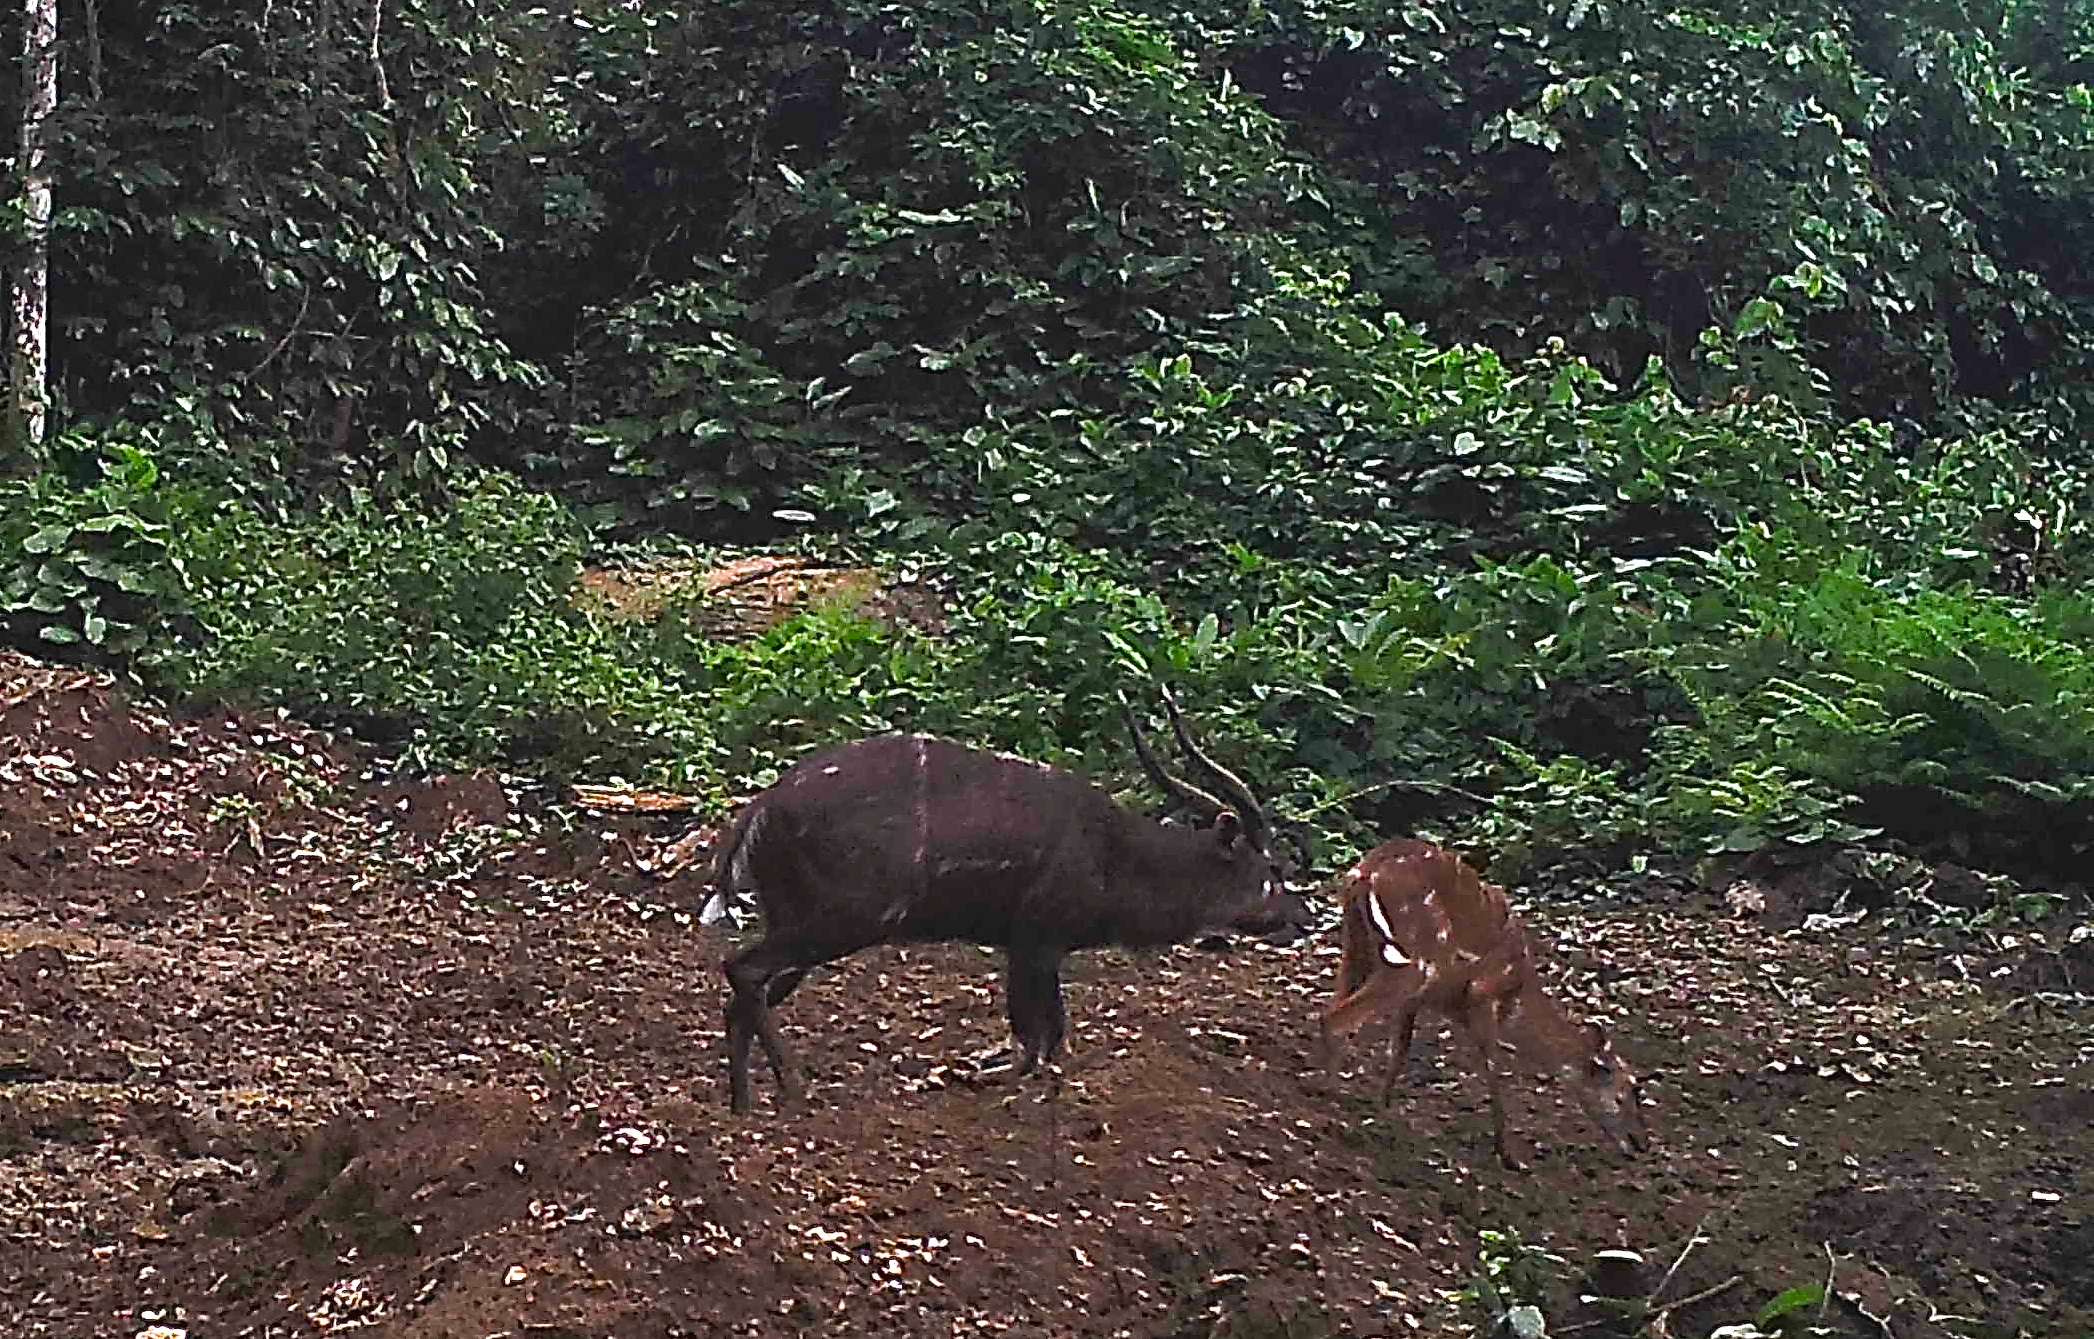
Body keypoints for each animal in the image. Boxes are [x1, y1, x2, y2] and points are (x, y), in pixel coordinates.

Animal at [1323, 842, 1650, 1165]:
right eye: (1629, 1090)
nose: (1642, 1143)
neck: (1518, 993)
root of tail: (1363, 874)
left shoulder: (1415, 1002)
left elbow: (1399, 1051)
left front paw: (1383, 1111)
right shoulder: (1481, 994)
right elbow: (1493, 1068)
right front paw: (1509, 1155)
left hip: (1358, 947)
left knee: (1334, 1009)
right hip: (1415, 962)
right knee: (1332, 1020)